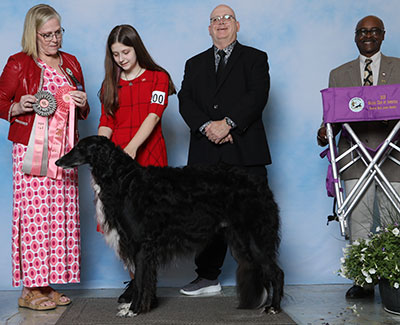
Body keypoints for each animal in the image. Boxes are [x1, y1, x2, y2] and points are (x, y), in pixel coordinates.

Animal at [56, 135, 284, 316]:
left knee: (277, 272)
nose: (58, 161)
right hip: (241, 239)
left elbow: (140, 280)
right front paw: (140, 306)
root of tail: (260, 184)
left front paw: (134, 309)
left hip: (255, 238)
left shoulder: (142, 244)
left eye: (80, 147)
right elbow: (145, 280)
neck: (124, 180)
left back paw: (274, 307)